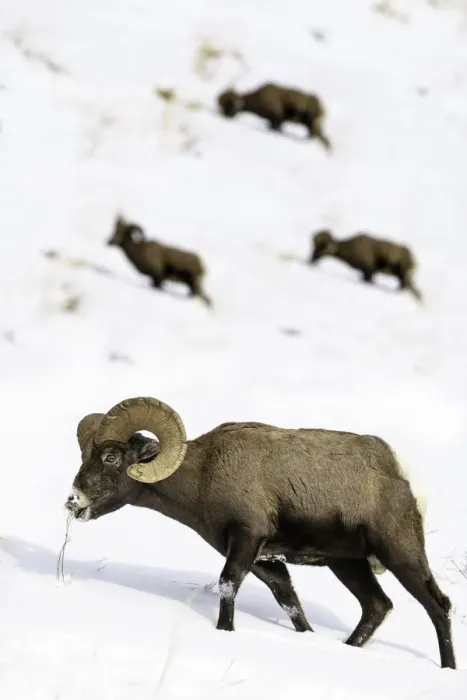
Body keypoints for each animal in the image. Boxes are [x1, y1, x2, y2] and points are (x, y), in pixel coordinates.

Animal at [65, 396, 455, 669]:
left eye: (112, 458)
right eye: (84, 456)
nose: (73, 501)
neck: (205, 474)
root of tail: (403, 475)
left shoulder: (246, 540)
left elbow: (228, 585)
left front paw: (224, 632)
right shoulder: (265, 560)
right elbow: (288, 600)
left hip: (401, 554)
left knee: (438, 606)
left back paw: (448, 668)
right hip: (347, 564)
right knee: (377, 606)